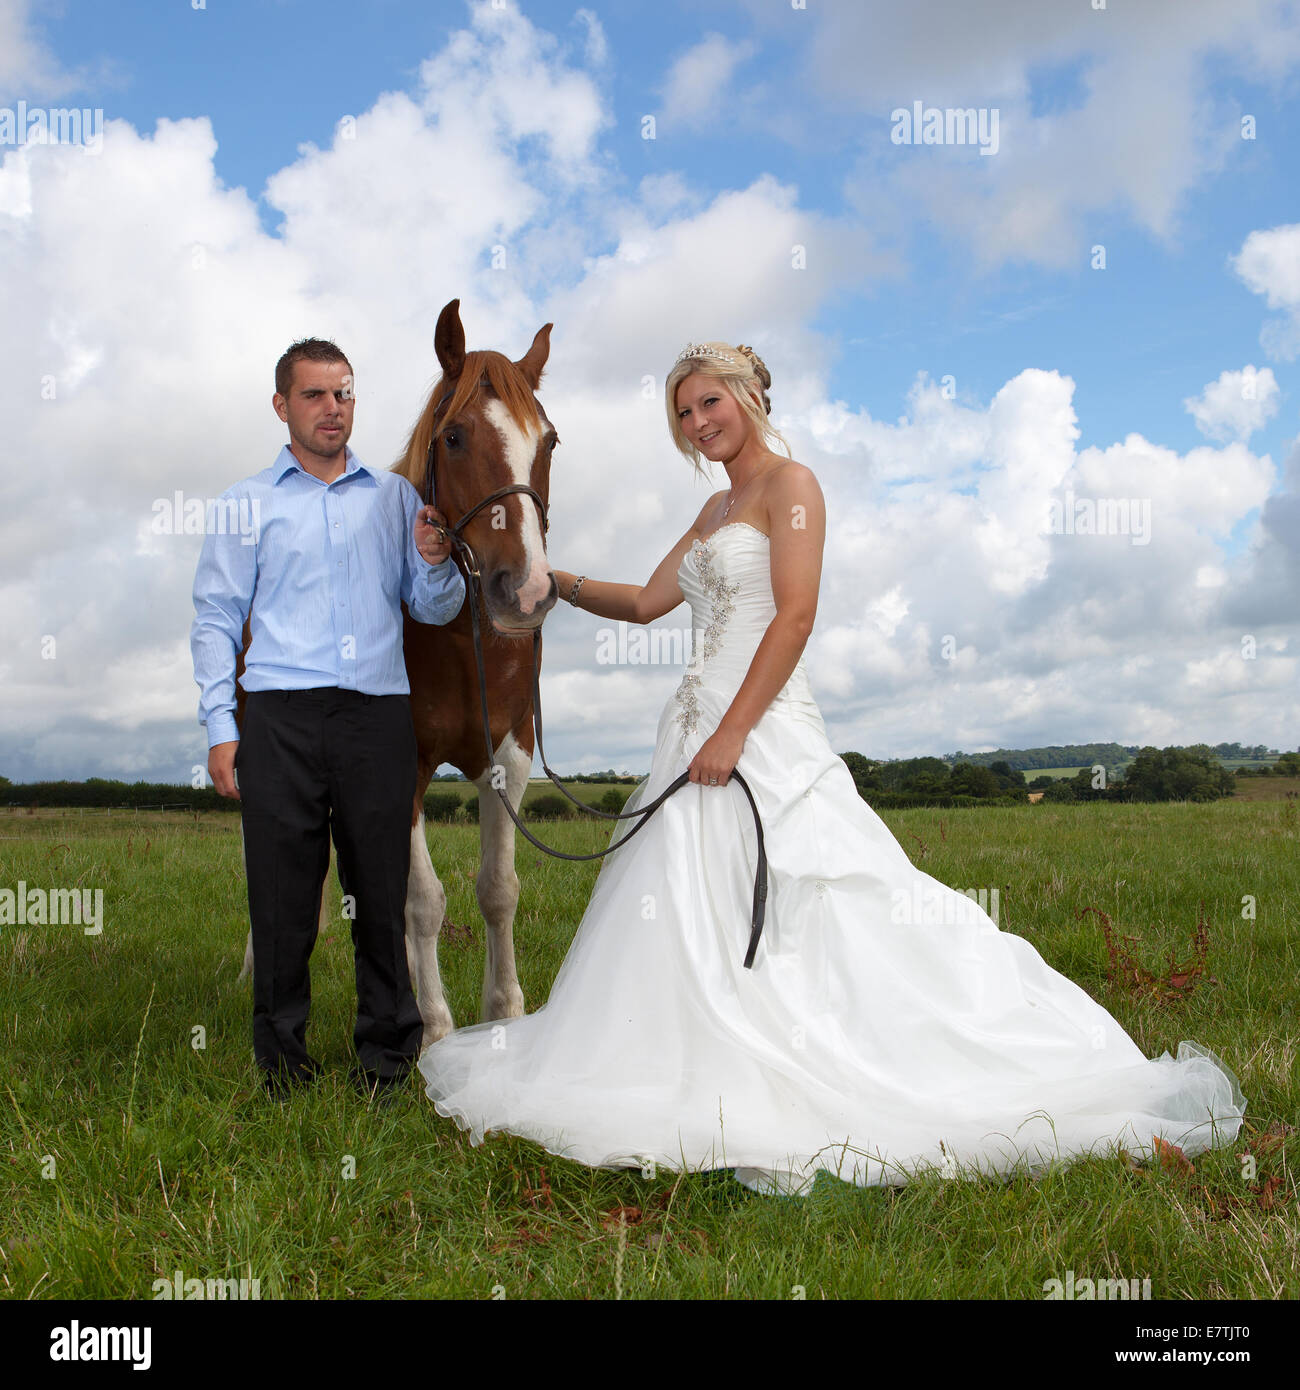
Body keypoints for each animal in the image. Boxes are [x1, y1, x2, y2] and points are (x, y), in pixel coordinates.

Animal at [237, 298, 558, 1045]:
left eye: (550, 442)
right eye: (456, 437)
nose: (526, 593)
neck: (460, 641)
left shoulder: (510, 754)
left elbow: (498, 889)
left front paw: (503, 1015)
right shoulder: (400, 763)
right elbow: (422, 902)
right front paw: (435, 1030)